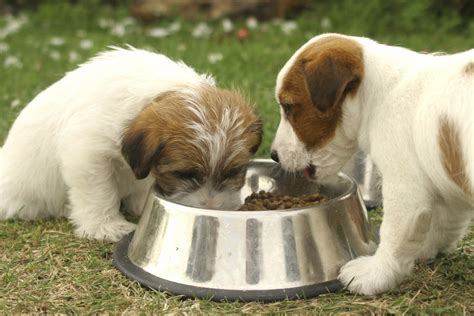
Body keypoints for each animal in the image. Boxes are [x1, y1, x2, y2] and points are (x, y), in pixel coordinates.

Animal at [0, 45, 262, 241]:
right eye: (183, 174)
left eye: (234, 172)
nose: (211, 207)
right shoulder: (87, 152)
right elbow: (99, 192)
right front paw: (106, 227)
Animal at [272, 33, 472, 296]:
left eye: (288, 107)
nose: (273, 155)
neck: (377, 95)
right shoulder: (445, 180)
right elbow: (443, 223)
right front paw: (423, 249)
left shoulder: (404, 189)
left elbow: (394, 234)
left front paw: (375, 273)